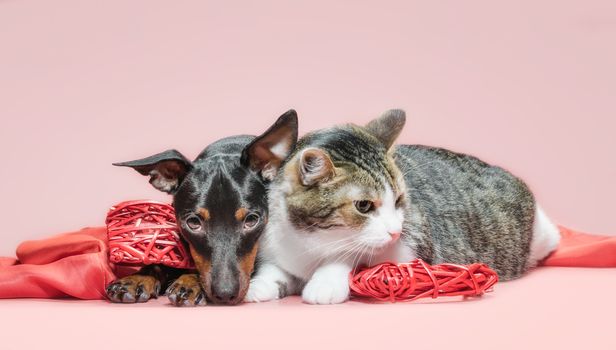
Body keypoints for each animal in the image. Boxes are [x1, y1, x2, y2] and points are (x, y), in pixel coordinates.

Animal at [243, 109, 560, 304]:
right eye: (363, 205)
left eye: (398, 200)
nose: (395, 231)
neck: (312, 241)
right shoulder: (275, 242)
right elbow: (274, 268)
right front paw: (260, 284)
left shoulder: (410, 247)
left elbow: (354, 257)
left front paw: (327, 280)